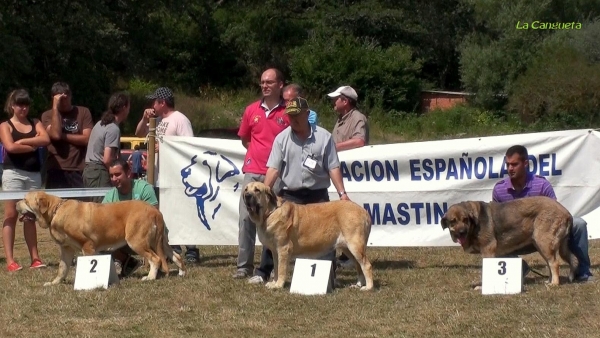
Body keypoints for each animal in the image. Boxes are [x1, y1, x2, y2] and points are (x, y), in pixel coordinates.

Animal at [15, 190, 185, 286]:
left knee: (155, 259)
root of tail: (156, 211)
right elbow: (62, 269)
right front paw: (54, 283)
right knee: (176, 256)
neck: (55, 211)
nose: (16, 204)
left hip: (137, 241)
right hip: (161, 242)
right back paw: (181, 273)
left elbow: (89, 263)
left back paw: (150, 278)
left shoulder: (87, 246)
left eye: (25, 200)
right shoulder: (66, 249)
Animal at [241, 182, 372, 290]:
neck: (270, 212)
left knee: (366, 265)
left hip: (355, 245)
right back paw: (358, 284)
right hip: (347, 248)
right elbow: (277, 267)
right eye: (246, 189)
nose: (247, 195)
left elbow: (281, 269)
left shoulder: (283, 248)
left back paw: (368, 287)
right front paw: (274, 283)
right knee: (358, 265)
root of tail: (363, 211)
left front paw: (278, 285)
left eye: (257, 190)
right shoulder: (275, 251)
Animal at [440, 195, 576, 286]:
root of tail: (567, 212)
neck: (474, 224)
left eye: (465, 219)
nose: (462, 232)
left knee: (554, 263)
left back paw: (554, 283)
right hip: (540, 245)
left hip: (543, 242)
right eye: (453, 221)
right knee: (551, 263)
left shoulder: (488, 250)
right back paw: (548, 280)